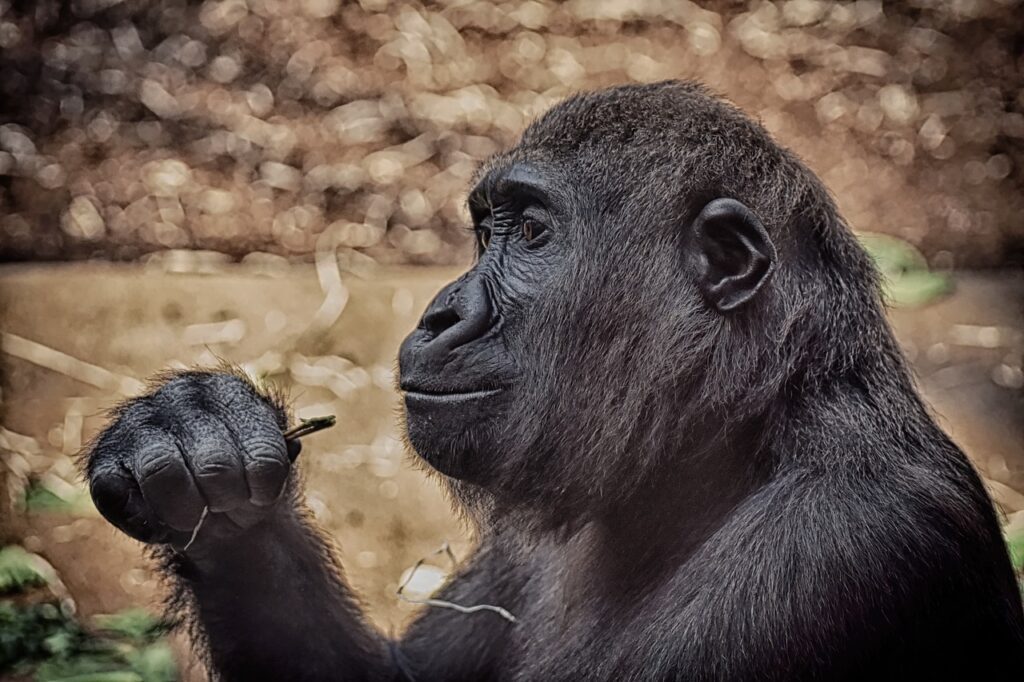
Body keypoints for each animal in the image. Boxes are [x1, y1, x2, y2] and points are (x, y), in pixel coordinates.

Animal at [86, 82, 1024, 675]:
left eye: (533, 231)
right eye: (483, 230)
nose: (440, 313)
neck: (733, 436)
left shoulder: (836, 545)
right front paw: (202, 460)